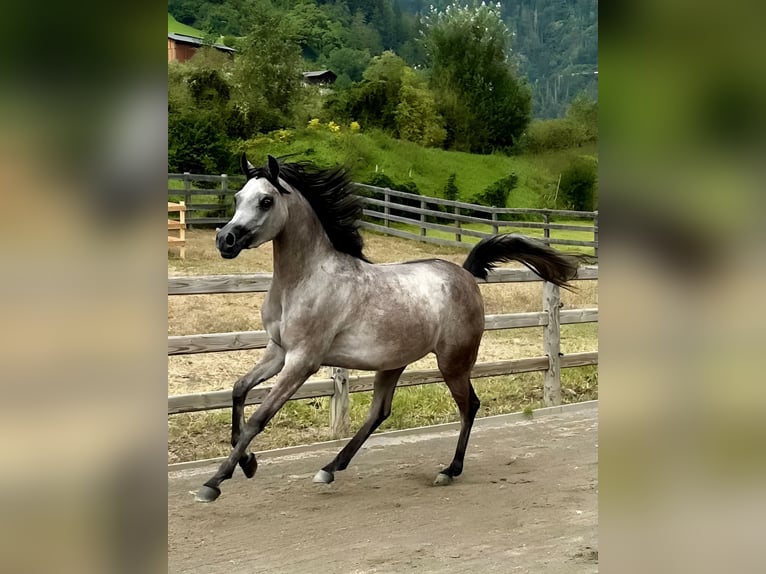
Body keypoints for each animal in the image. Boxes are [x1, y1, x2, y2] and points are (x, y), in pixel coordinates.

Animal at [195, 154, 584, 504]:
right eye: (237, 197)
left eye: (266, 200)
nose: (225, 240)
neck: (305, 280)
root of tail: (464, 272)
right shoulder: (278, 352)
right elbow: (238, 390)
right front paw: (247, 463)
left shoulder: (303, 360)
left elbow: (259, 418)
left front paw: (214, 482)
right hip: (394, 362)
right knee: (379, 412)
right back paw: (330, 468)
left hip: (453, 362)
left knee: (469, 406)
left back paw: (449, 470)